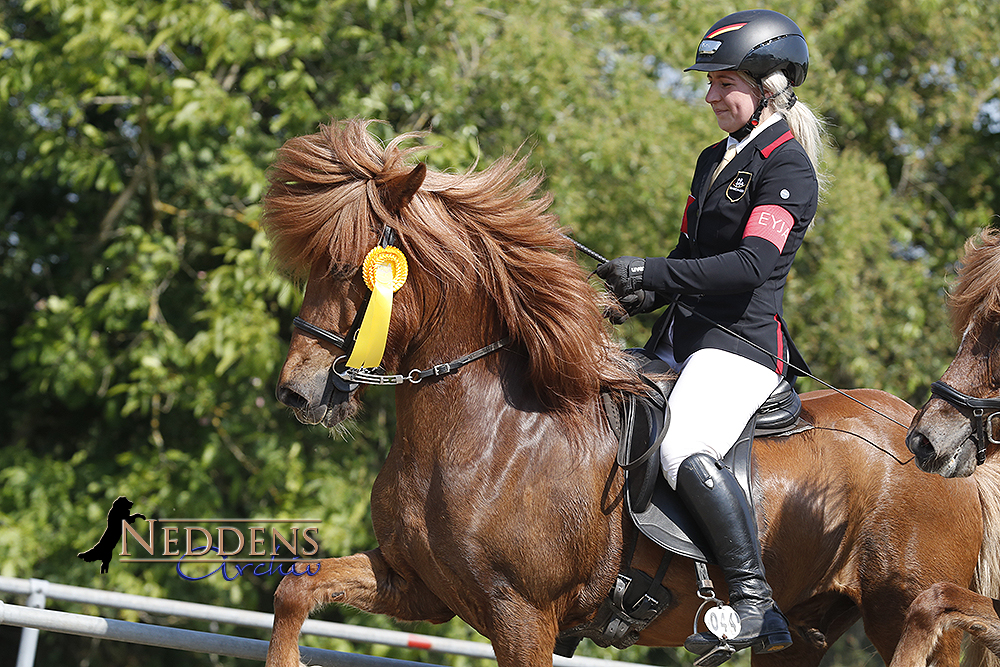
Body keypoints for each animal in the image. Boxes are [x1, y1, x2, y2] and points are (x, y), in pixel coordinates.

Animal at [264, 120, 984, 667]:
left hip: (904, 610)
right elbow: (297, 589)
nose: (299, 392)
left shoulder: (522, 615)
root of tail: (935, 443)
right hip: (806, 632)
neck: (489, 432)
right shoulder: (419, 586)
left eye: (355, 269)